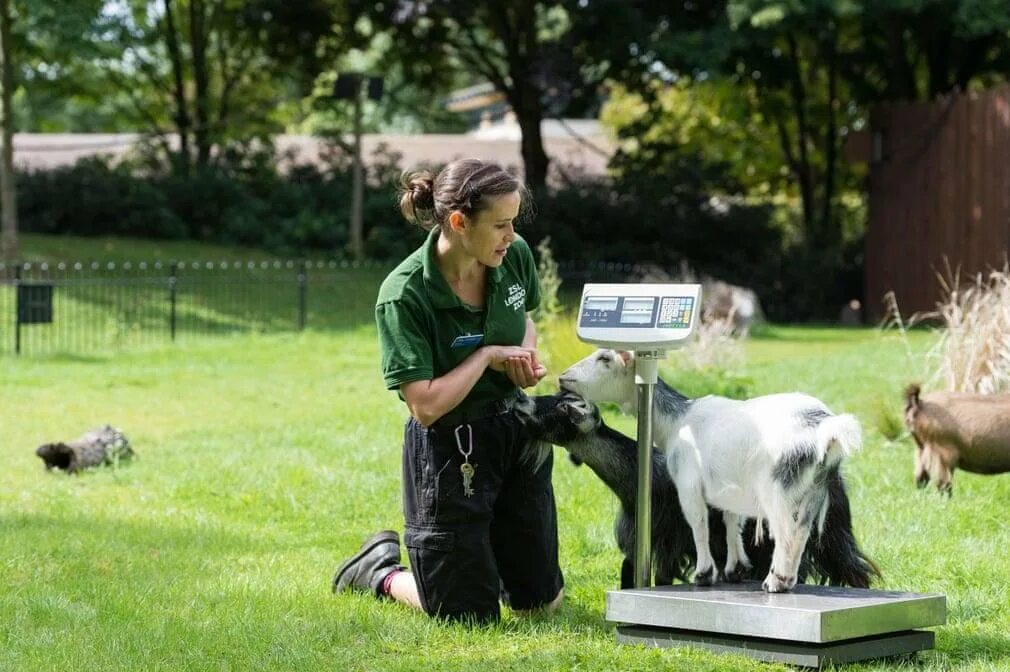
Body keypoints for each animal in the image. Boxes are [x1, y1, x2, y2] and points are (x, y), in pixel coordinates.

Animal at [557, 347, 864, 590]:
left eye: (605, 358)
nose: (563, 377)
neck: (677, 421)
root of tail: (826, 427)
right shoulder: (728, 487)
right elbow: (731, 523)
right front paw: (735, 569)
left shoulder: (688, 483)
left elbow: (698, 523)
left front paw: (704, 574)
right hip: (814, 490)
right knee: (801, 530)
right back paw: (782, 580)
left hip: (779, 488)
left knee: (787, 531)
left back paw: (776, 581)